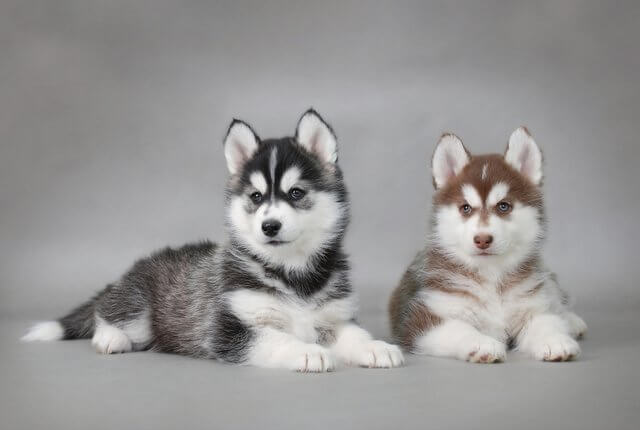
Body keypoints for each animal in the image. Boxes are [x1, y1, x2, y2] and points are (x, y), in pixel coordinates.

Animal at [26, 109, 404, 372]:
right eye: (255, 197)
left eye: (296, 193)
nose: (269, 225)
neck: (292, 273)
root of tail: (130, 271)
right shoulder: (229, 330)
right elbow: (277, 337)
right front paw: (309, 351)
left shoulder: (333, 318)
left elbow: (353, 334)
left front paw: (377, 347)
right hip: (137, 306)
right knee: (107, 314)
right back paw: (109, 338)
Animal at [388, 127, 588, 362]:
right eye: (465, 208)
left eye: (504, 206)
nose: (482, 239)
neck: (491, 275)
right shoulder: (421, 320)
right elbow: (459, 329)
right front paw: (482, 343)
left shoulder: (531, 304)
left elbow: (545, 320)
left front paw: (554, 340)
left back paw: (572, 321)